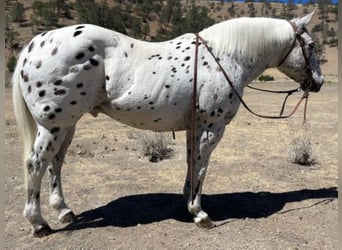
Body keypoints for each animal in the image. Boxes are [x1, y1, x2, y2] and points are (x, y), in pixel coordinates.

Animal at [13, 13, 324, 236]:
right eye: (310, 46)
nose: (318, 83)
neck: (225, 57)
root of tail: (33, 45)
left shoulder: (194, 128)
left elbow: (191, 163)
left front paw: (187, 200)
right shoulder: (211, 128)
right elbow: (201, 168)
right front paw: (200, 213)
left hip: (67, 125)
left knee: (55, 163)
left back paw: (64, 211)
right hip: (54, 125)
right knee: (35, 164)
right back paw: (38, 223)